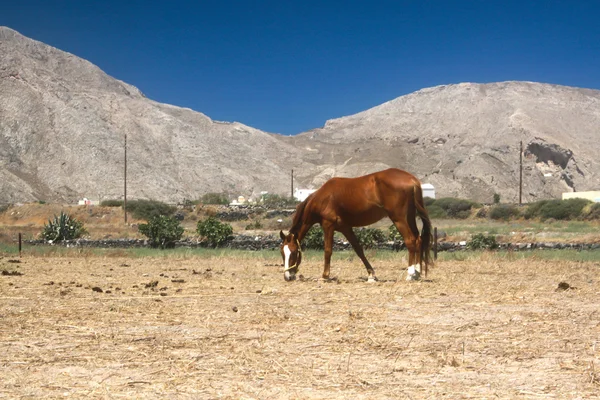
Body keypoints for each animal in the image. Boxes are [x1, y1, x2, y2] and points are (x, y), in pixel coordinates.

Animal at [278, 168, 434, 282]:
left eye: (293, 252)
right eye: (282, 253)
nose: (287, 277)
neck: (323, 198)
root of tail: (411, 179)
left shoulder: (328, 226)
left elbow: (328, 250)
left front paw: (325, 276)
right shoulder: (346, 228)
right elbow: (359, 250)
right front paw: (371, 275)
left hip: (399, 219)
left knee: (410, 241)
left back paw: (411, 274)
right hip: (410, 217)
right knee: (418, 239)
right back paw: (417, 272)